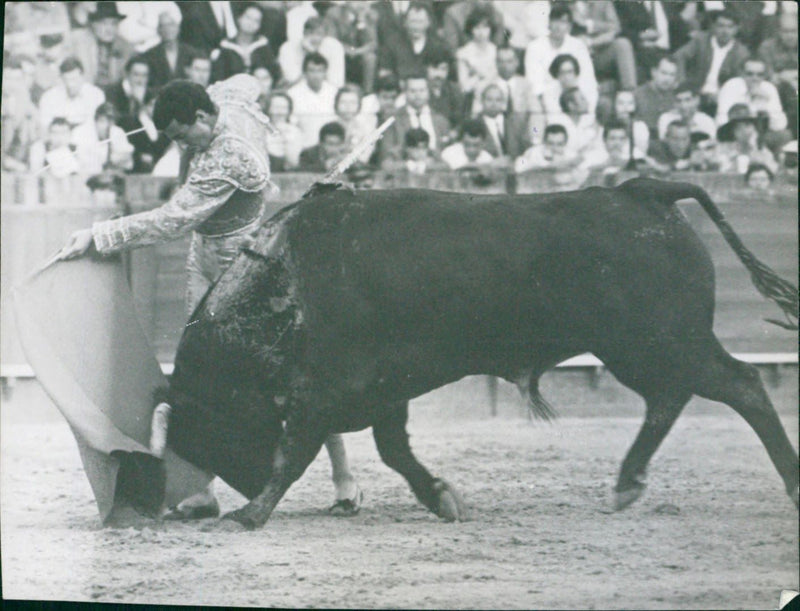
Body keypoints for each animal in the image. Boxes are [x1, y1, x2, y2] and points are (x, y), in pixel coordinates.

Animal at [148, 177, 792, 532]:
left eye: (206, 428)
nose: (242, 485)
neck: (283, 281)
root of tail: (642, 192)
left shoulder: (326, 390)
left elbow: (296, 451)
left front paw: (251, 514)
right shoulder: (383, 390)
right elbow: (394, 451)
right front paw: (443, 498)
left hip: (653, 343)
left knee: (734, 385)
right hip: (655, 346)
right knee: (690, 394)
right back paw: (633, 482)